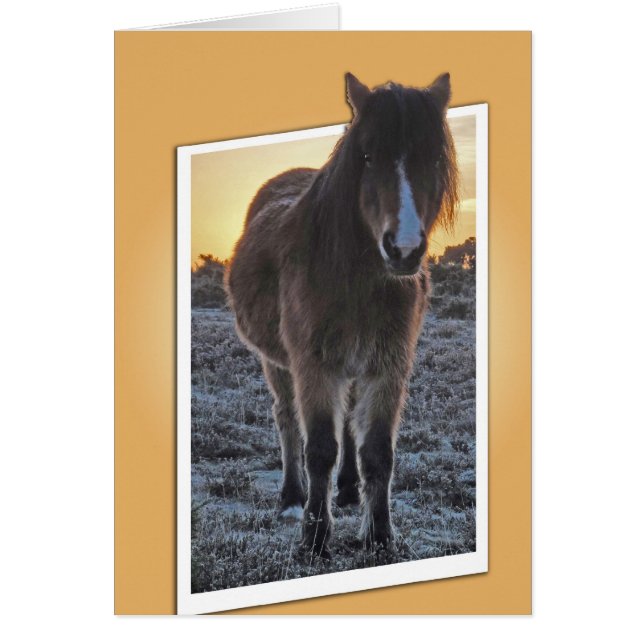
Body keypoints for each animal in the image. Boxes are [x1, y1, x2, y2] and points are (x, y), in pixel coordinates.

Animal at [225, 72, 459, 557]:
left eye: (433, 157)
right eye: (366, 156)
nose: (403, 249)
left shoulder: (388, 367)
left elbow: (377, 451)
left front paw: (380, 535)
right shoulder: (314, 366)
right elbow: (318, 448)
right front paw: (314, 536)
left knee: (349, 421)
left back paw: (349, 490)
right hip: (277, 363)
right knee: (287, 420)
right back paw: (292, 499)